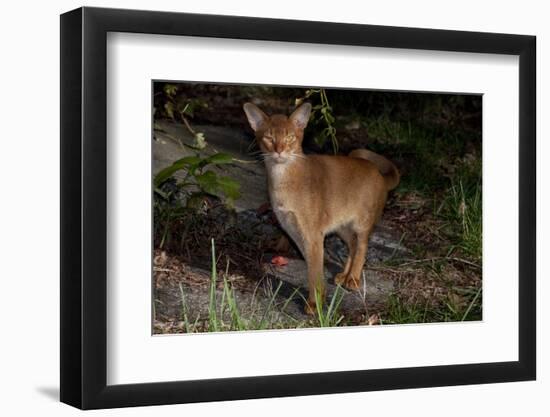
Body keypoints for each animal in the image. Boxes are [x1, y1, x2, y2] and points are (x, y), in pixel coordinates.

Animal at [243, 102, 402, 314]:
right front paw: (319, 297)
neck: (282, 179)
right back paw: (344, 275)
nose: (279, 151)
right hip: (341, 226)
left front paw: (314, 303)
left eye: (290, 137)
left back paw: (353, 278)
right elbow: (313, 268)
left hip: (362, 223)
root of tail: (377, 172)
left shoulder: (313, 235)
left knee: (362, 246)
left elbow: (314, 271)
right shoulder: (295, 232)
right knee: (352, 245)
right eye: (269, 137)